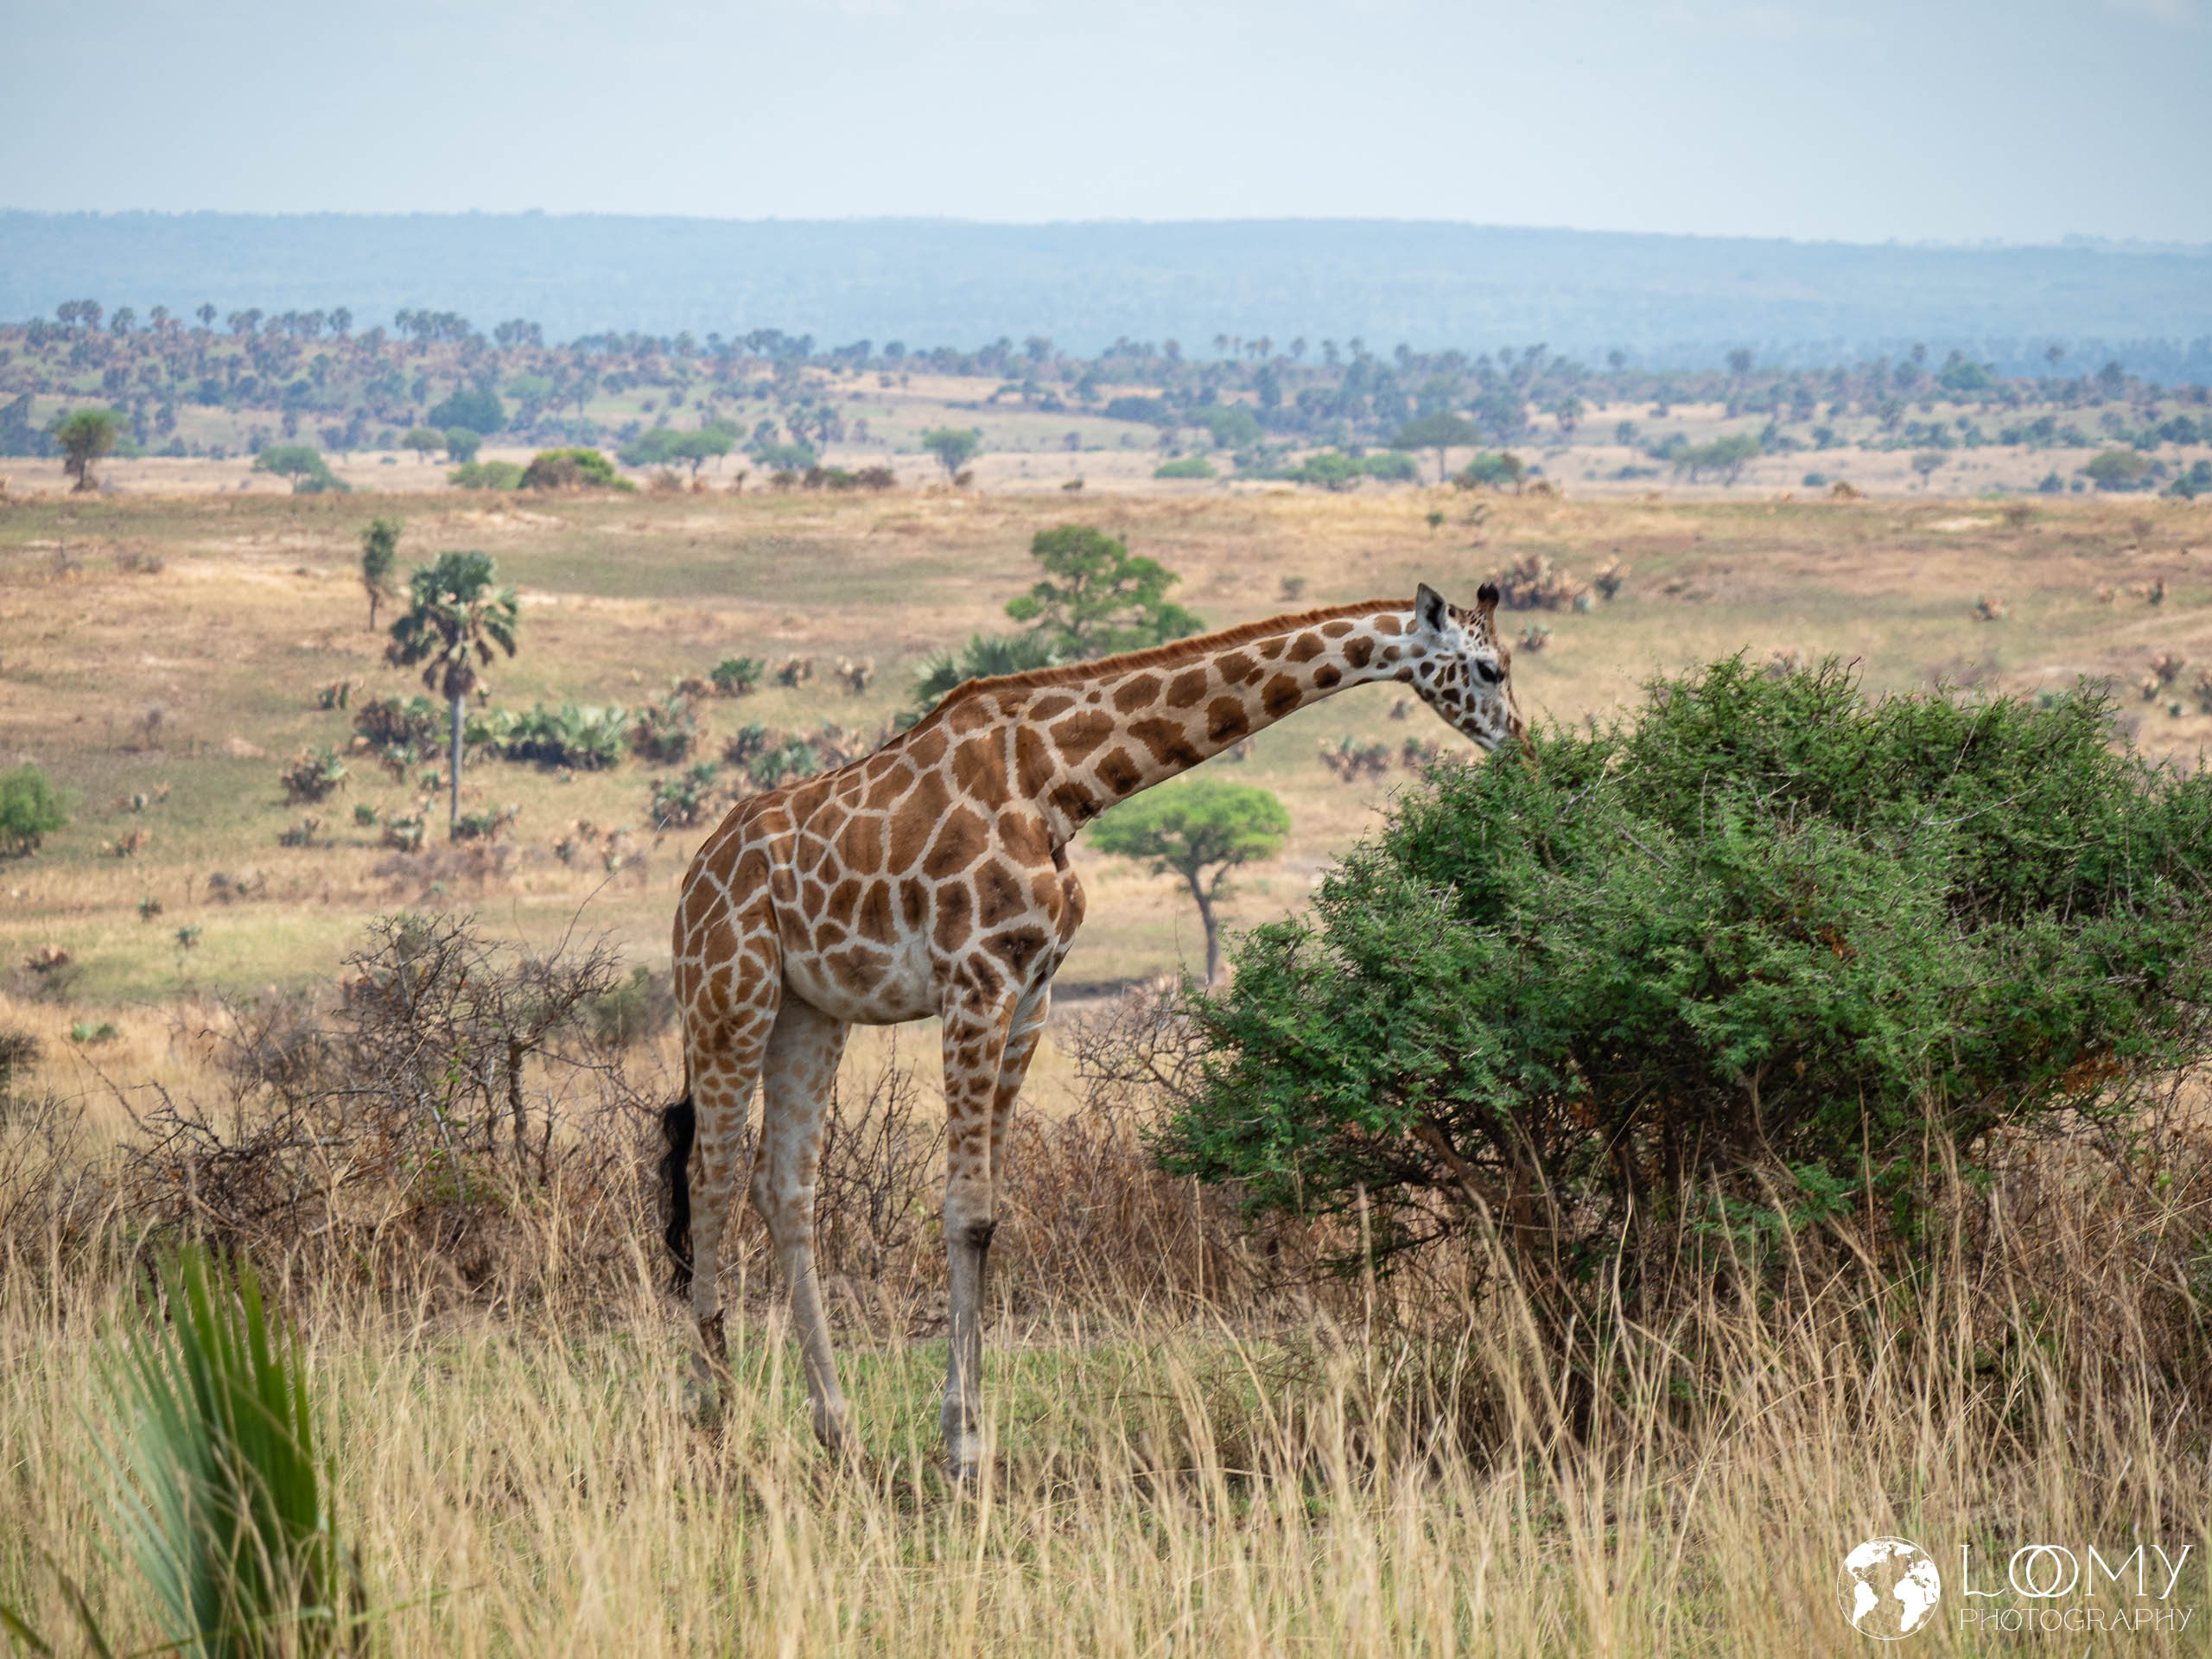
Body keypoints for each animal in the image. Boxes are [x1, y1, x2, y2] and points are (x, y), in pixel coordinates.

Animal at [664, 581, 1523, 1477]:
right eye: (1489, 669)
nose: (1523, 746)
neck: (1058, 781)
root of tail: (693, 875)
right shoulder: (977, 980)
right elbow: (963, 1209)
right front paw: (964, 1447)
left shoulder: (1031, 995)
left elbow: (987, 1214)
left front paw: (970, 1432)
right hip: (729, 993)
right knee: (710, 1176)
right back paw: (710, 1409)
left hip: (812, 1011)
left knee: (782, 1187)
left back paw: (837, 1429)